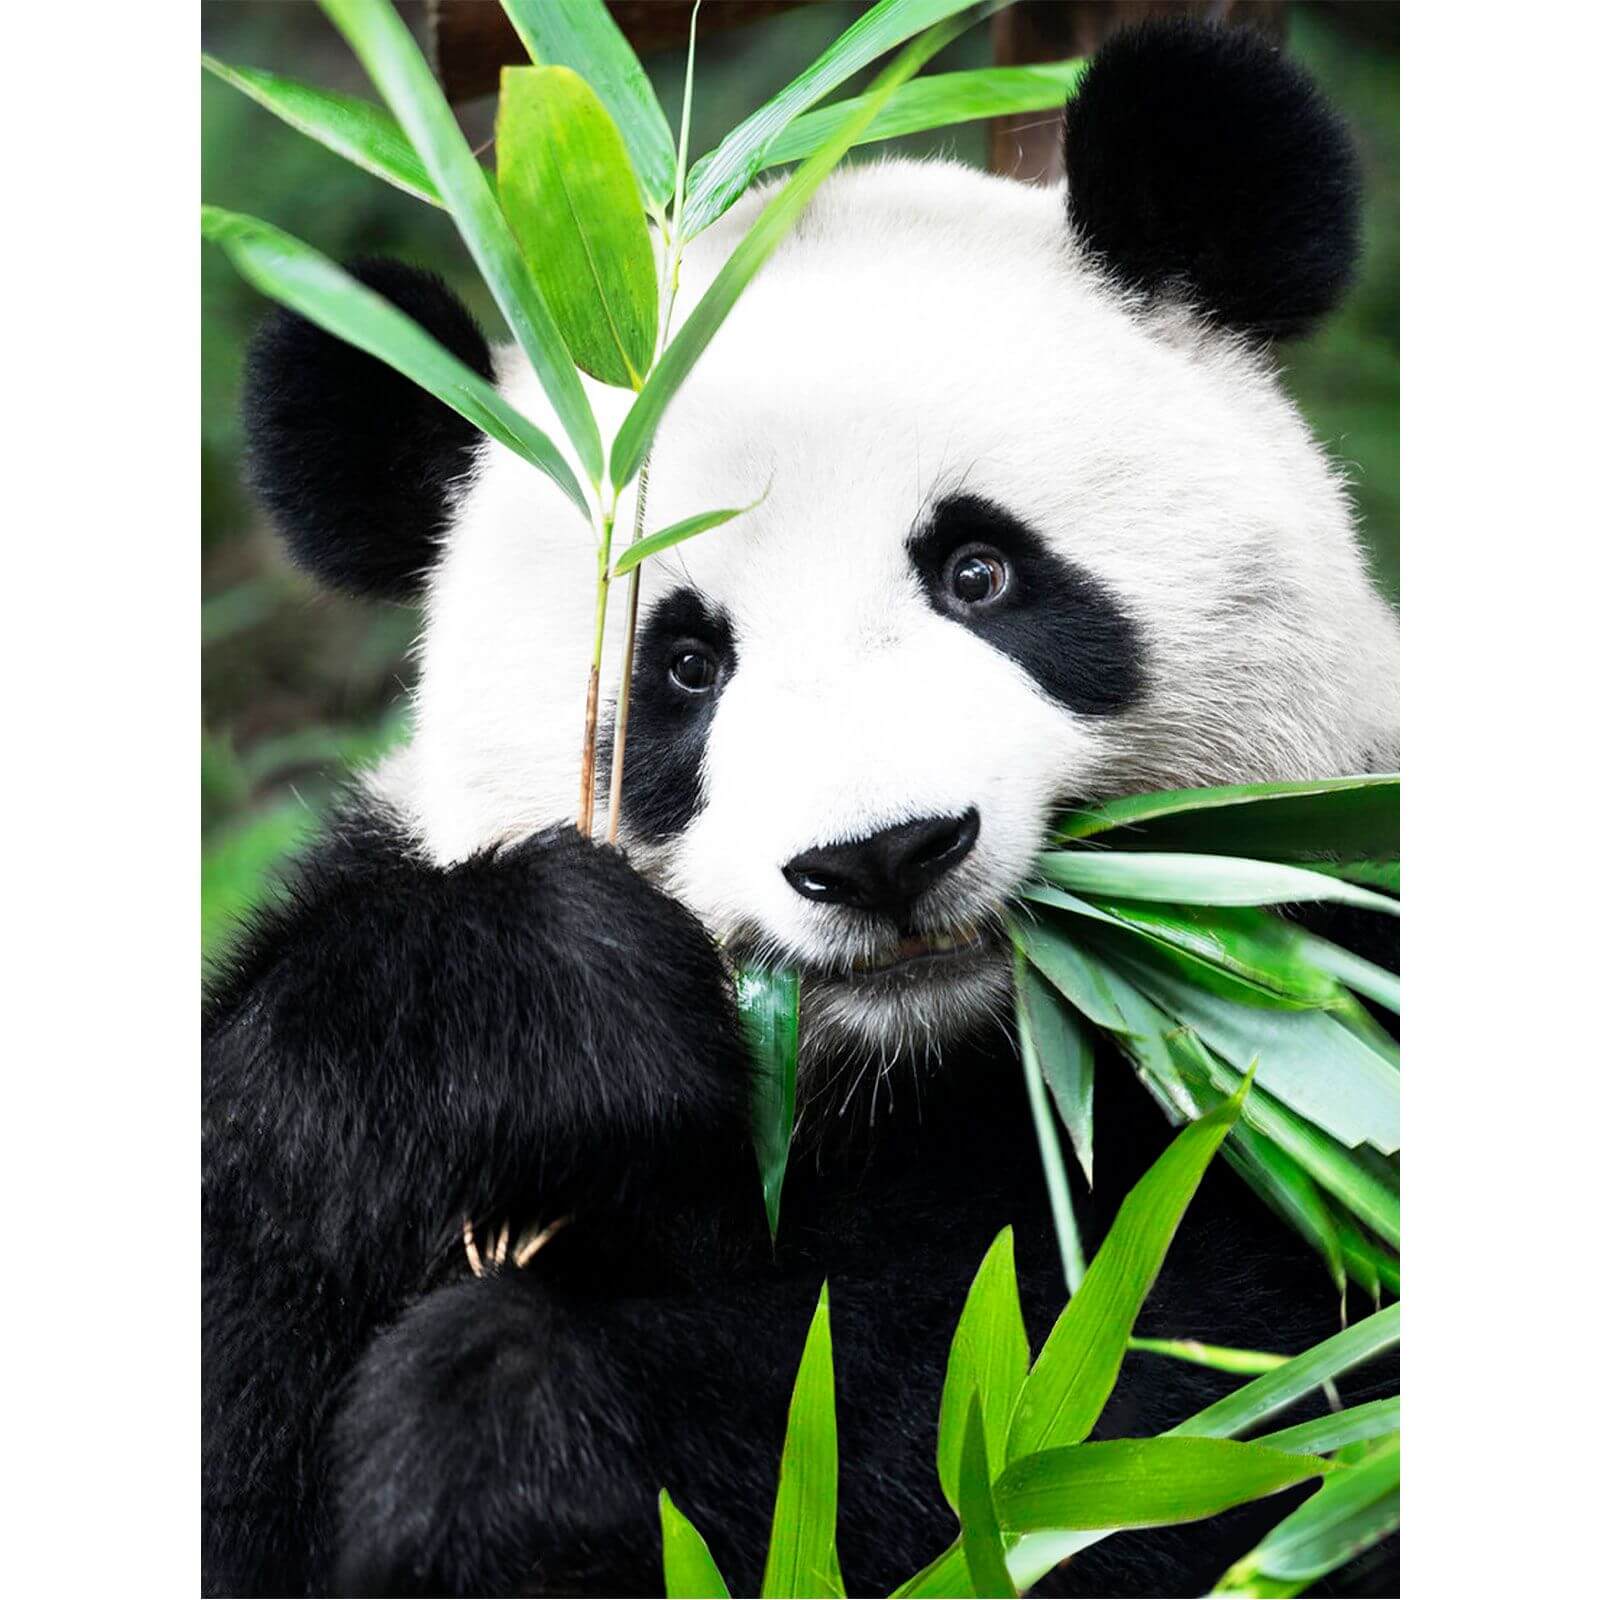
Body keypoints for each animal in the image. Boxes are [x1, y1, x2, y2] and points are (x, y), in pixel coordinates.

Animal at [203, 20, 1400, 1600]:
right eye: (684, 666)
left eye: (978, 572)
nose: (881, 855)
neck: (904, 1076)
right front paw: (544, 1007)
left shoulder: (1321, 996)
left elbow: (1146, 1419)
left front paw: (517, 1431)